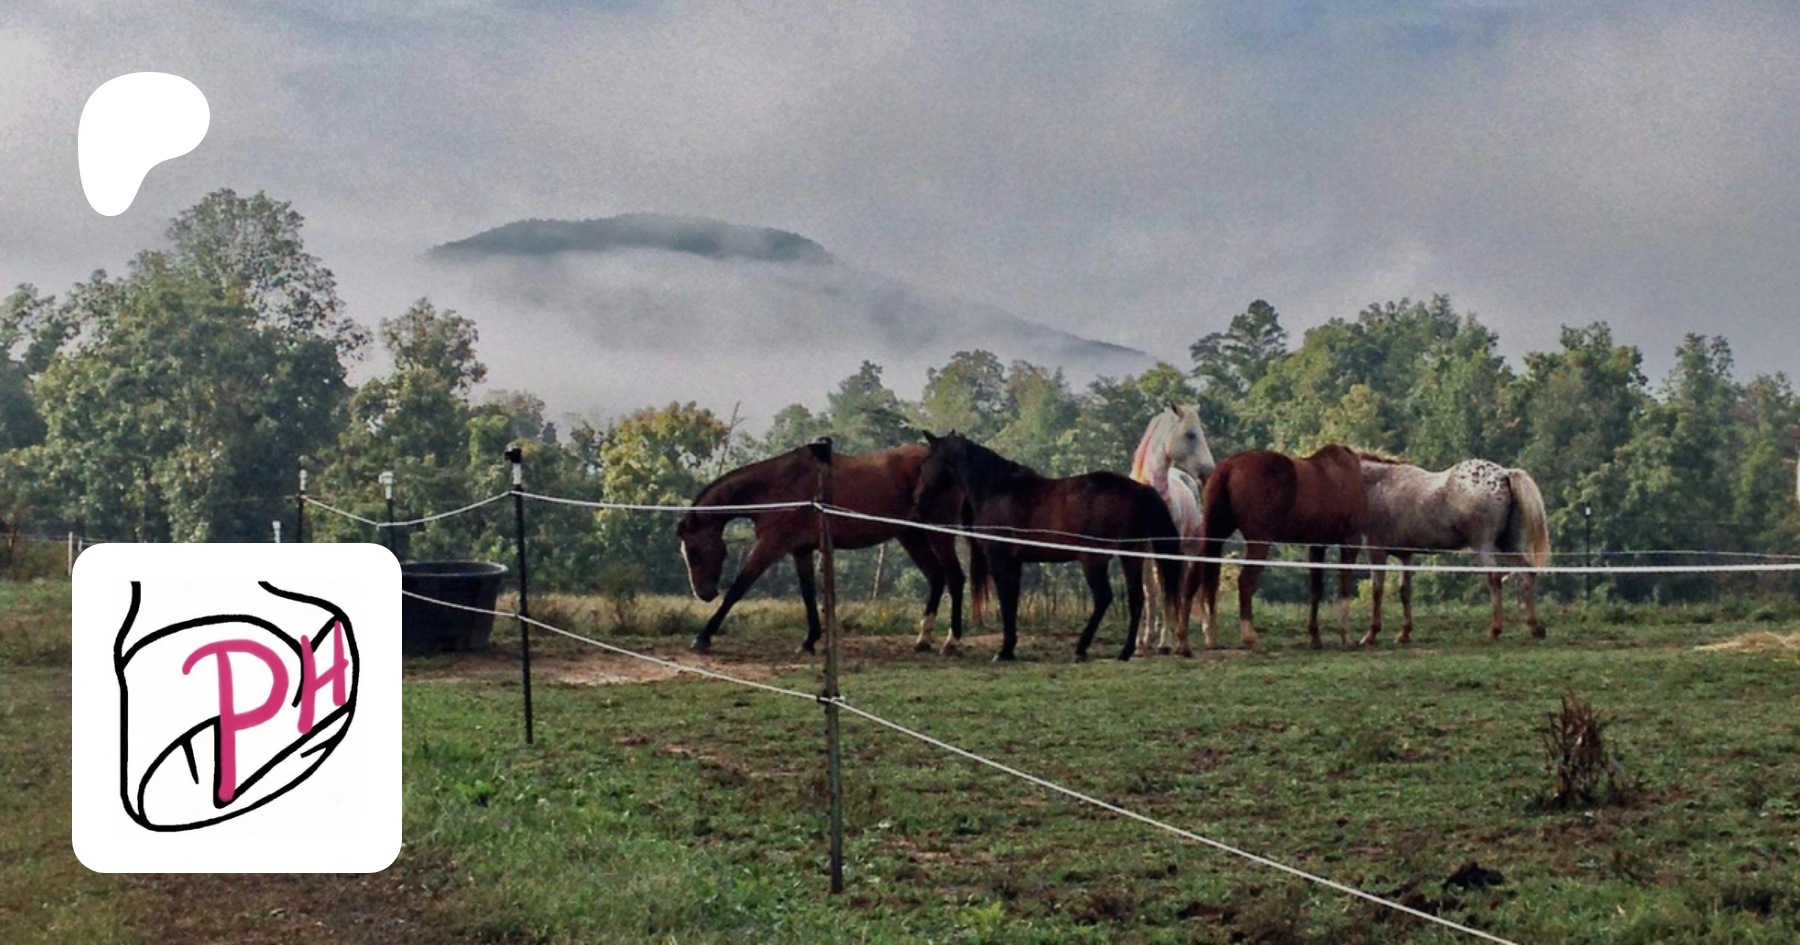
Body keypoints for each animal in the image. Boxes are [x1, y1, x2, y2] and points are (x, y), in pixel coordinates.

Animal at [677, 442, 968, 655]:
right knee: (936, 577)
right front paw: (809, 641)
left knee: (954, 578)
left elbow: (738, 588)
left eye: (694, 551)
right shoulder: (800, 551)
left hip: (939, 534)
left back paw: (951, 642)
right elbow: (808, 594)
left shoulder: (770, 546)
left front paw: (702, 638)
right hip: (912, 536)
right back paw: (923, 639)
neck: (777, 485)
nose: (703, 593)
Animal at [914, 432, 1185, 662]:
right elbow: (1012, 601)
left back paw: (1081, 648)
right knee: (1136, 598)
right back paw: (1124, 651)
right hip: (1130, 557)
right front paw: (1010, 648)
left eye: (927, 459)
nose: (917, 495)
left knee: (1103, 597)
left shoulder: (1000, 560)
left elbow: (1006, 601)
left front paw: (1004, 651)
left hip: (1093, 560)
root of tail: (1137, 489)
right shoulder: (1015, 563)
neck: (998, 490)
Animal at [1128, 404, 1215, 655]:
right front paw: (1141, 642)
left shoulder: (1166, 550)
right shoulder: (1141, 550)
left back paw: (1202, 637)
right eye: (1190, 434)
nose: (1210, 472)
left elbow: (1168, 593)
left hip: (1191, 550)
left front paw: (1165, 642)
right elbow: (1150, 592)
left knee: (1192, 588)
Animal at [1187, 445, 1368, 651]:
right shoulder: (1351, 541)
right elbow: (1345, 587)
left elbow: (1316, 590)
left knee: (1195, 576)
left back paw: (1200, 634)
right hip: (1258, 543)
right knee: (1245, 581)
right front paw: (1346, 636)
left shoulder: (1317, 546)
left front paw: (1315, 636)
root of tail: (1229, 467)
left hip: (1216, 535)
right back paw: (1251, 638)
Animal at [1356, 453, 1552, 644]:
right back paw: (1534, 627)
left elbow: (1377, 590)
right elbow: (1405, 591)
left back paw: (1495, 630)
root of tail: (1504, 474)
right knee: (1527, 574)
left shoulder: (1376, 550)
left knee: (1494, 579)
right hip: (1509, 545)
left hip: (1483, 546)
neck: (1380, 483)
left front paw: (1371, 634)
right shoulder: (1405, 555)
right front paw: (1404, 633)